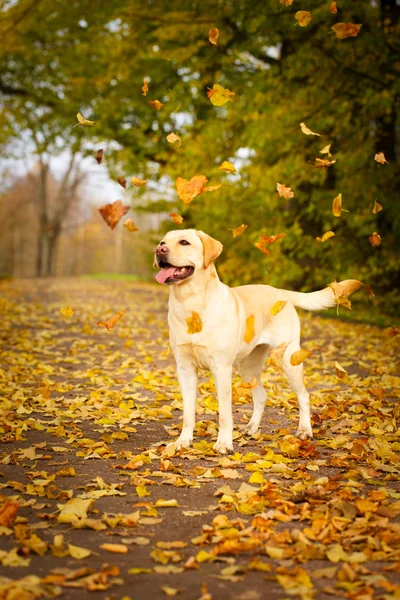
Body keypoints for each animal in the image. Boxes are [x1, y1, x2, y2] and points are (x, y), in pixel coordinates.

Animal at [154, 230, 360, 454]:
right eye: (163, 242)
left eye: (184, 242)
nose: (159, 250)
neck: (190, 304)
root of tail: (280, 292)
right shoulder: (185, 368)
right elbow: (188, 412)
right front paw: (183, 441)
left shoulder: (221, 368)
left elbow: (224, 413)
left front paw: (224, 443)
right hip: (247, 367)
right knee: (261, 396)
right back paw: (251, 428)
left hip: (288, 359)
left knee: (304, 396)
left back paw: (305, 430)